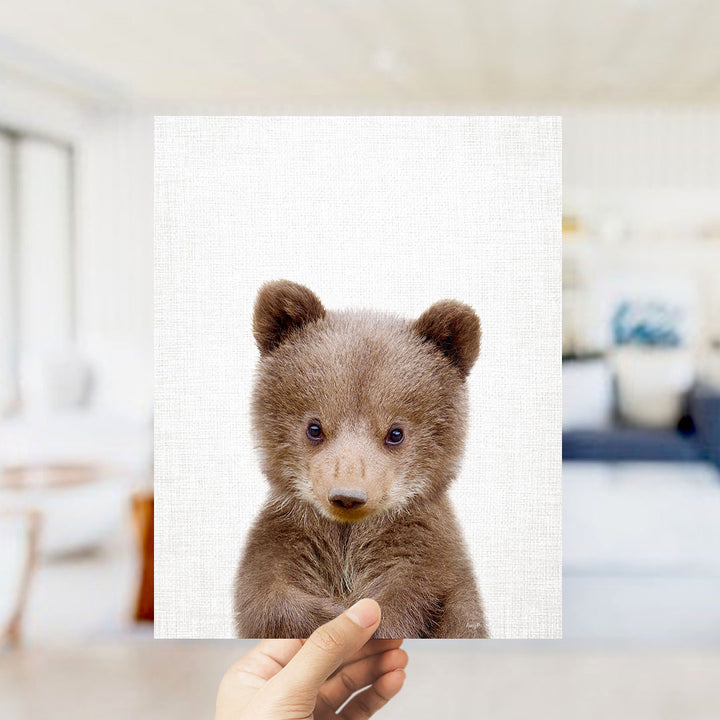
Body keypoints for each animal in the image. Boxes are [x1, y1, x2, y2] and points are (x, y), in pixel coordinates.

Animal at [234, 280, 488, 639]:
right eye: (314, 427)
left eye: (395, 433)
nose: (347, 496)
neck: (347, 536)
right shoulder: (289, 536)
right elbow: (268, 596)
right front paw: (331, 614)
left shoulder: (422, 551)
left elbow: (412, 597)